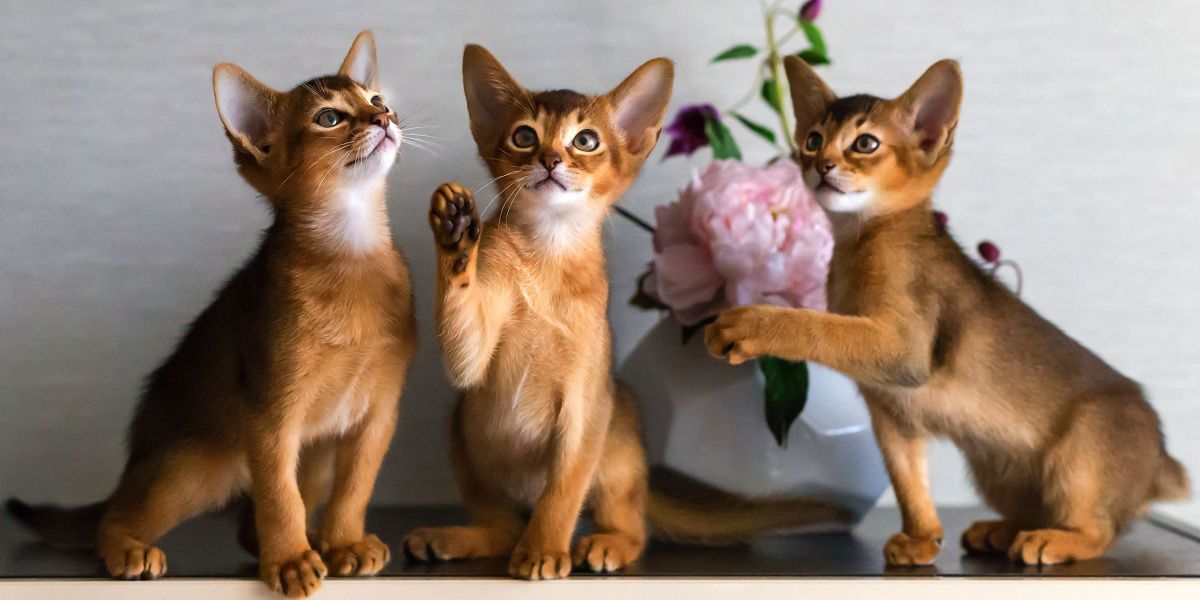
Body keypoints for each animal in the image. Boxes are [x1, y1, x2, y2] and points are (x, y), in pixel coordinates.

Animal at [5, 29, 417, 595]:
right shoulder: (269, 416)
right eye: (330, 118)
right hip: (194, 469)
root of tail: (137, 456)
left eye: (375, 99)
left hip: (310, 456)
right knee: (118, 517)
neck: (352, 257)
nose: (385, 118)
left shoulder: (378, 413)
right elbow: (279, 499)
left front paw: (344, 543)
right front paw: (291, 560)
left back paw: (315, 542)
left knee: (252, 522)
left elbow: (355, 488)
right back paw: (130, 551)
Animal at [400, 43, 844, 580]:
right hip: (461, 429)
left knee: (632, 528)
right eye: (524, 136)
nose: (551, 159)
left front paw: (544, 550)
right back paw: (450, 537)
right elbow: (463, 345)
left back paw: (602, 544)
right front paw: (455, 234)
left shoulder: (585, 407)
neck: (546, 254)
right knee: (502, 529)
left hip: (618, 442)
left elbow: (563, 492)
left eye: (586, 140)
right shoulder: (471, 365)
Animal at [705, 56, 1185, 566]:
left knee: (1099, 529)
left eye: (865, 143)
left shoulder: (903, 349)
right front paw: (922, 538)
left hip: (1081, 452)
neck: (864, 242)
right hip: (995, 470)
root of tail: (1159, 458)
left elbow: (818, 327)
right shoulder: (892, 414)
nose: (821, 166)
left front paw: (751, 322)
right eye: (813, 139)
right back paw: (1001, 531)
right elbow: (908, 481)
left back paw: (1052, 540)